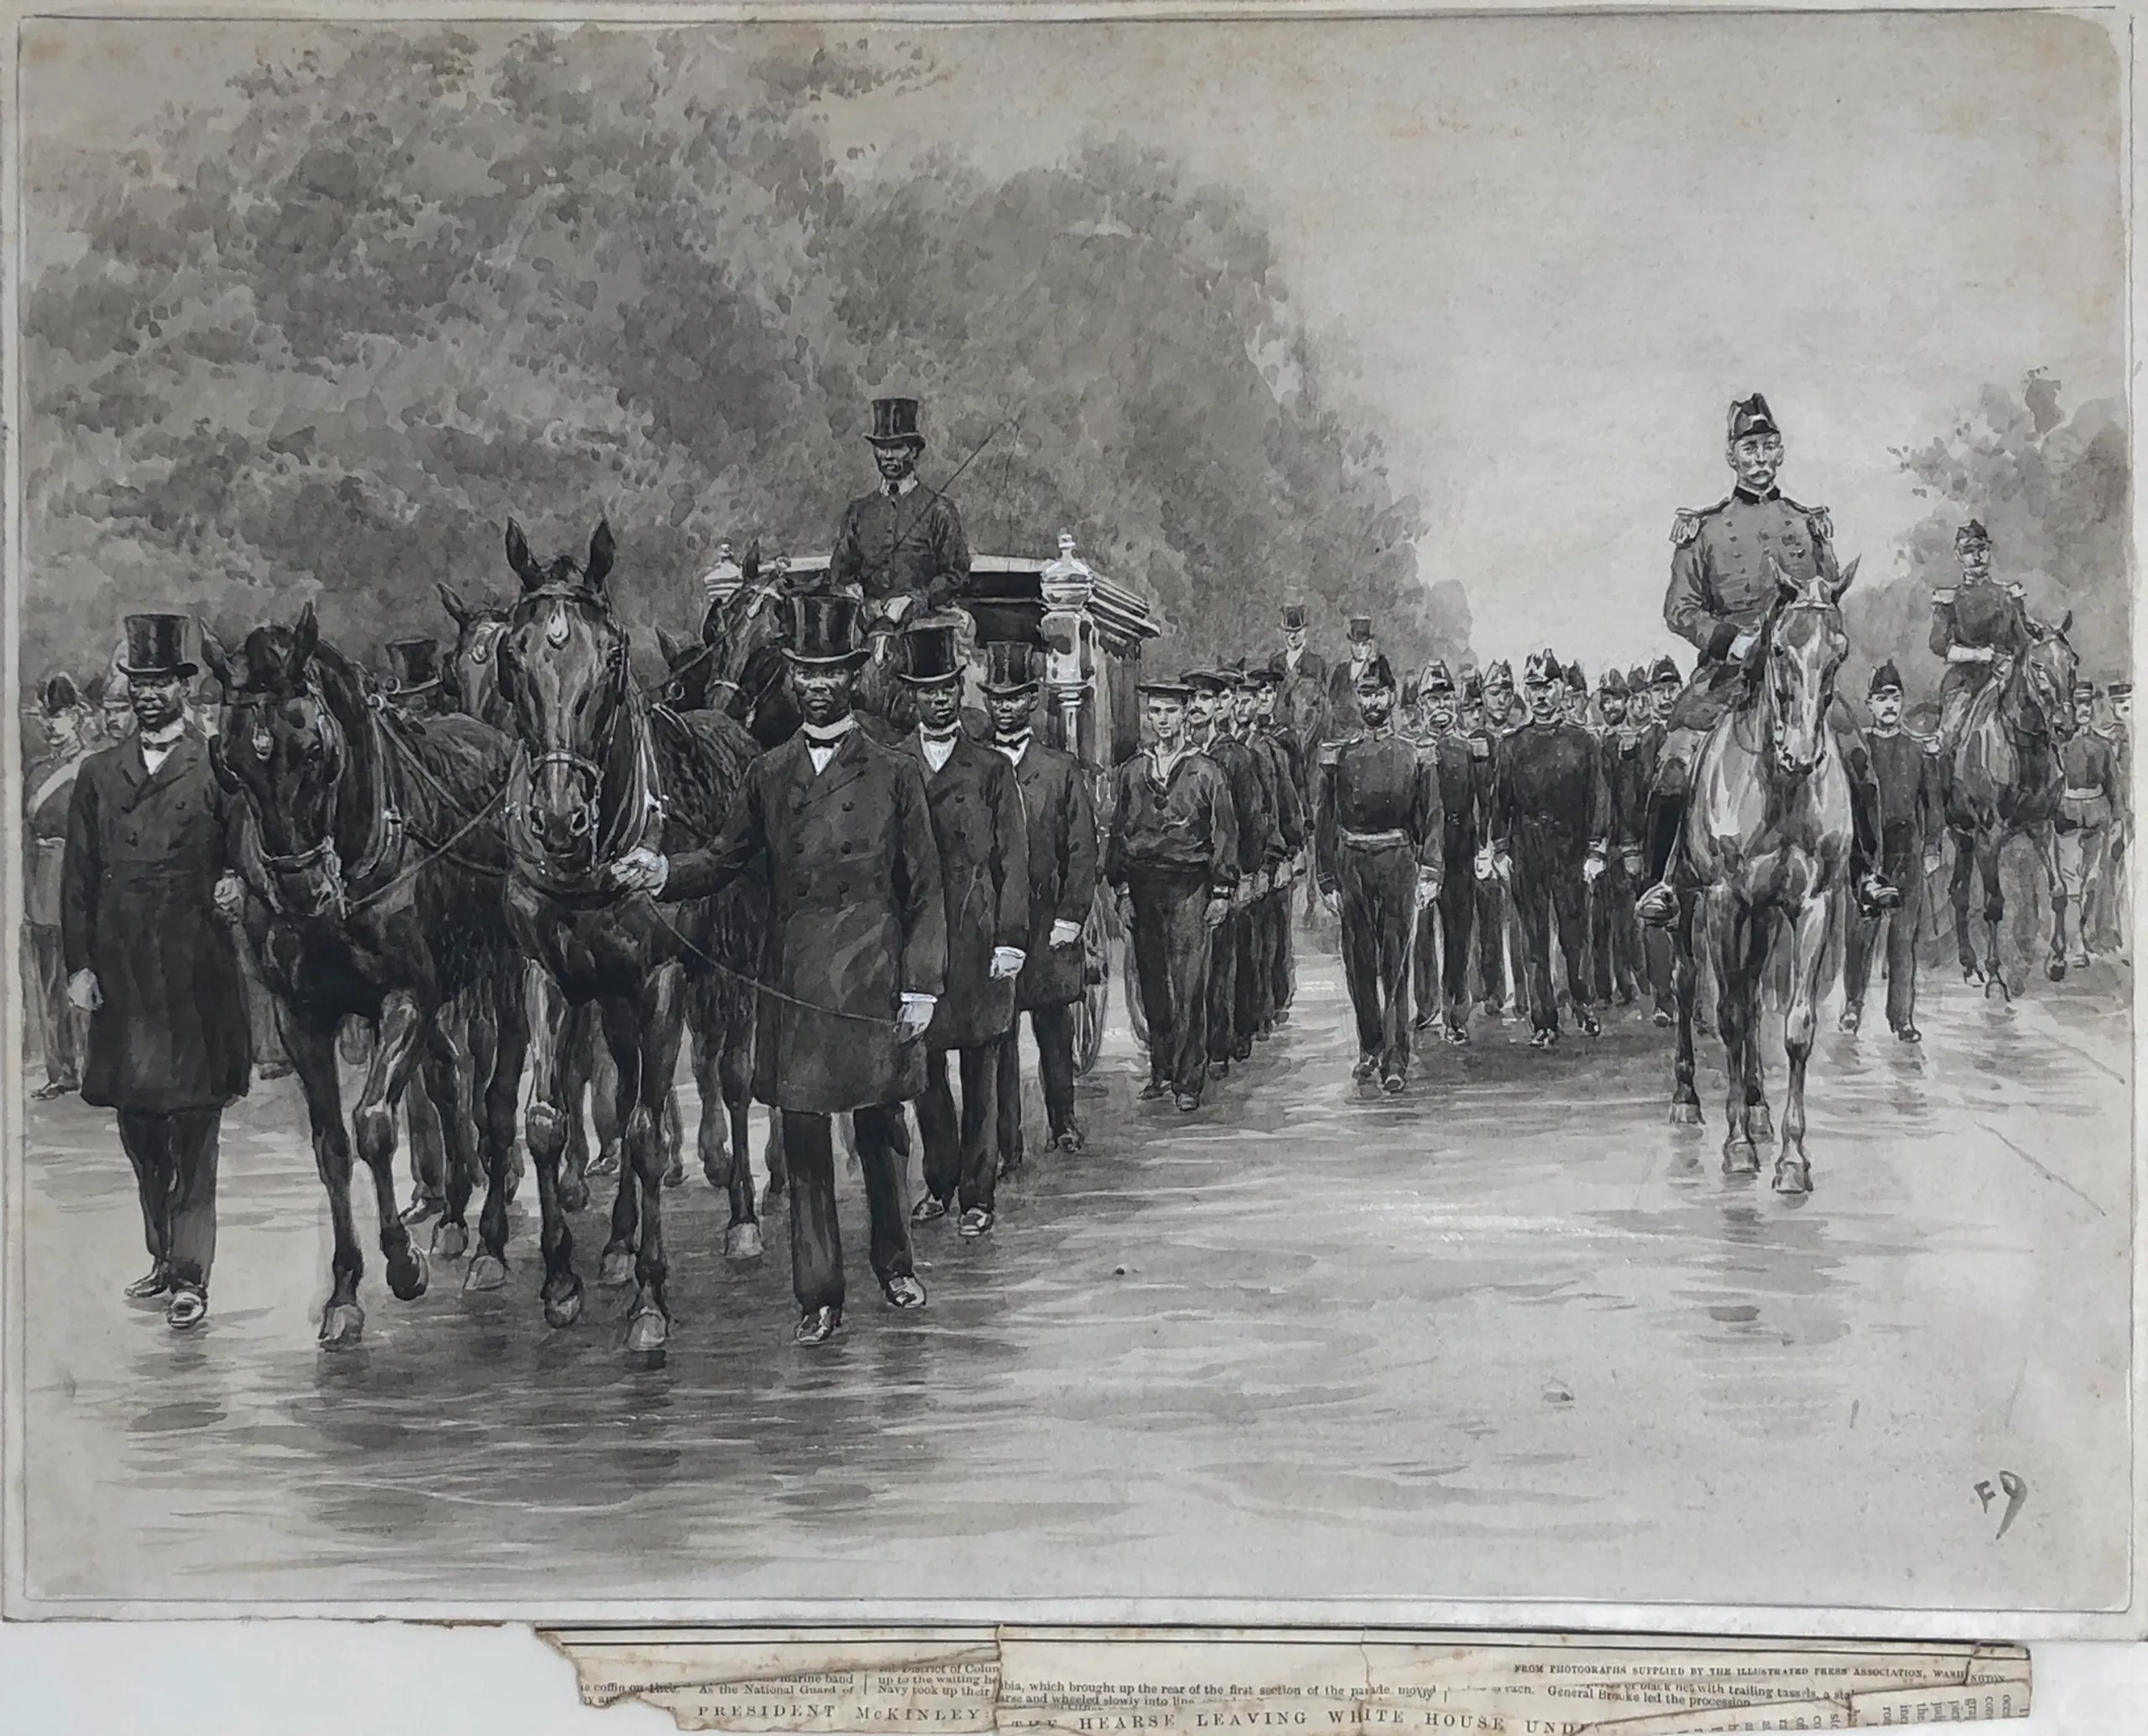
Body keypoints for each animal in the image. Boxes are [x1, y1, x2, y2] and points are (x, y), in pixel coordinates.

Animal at [201, 601, 528, 1349]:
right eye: (232, 764)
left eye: (315, 751)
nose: (300, 893)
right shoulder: (300, 1015)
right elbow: (331, 1144)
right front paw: (345, 1288)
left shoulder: (406, 996)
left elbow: (375, 1121)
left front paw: (400, 1264)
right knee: (448, 1077)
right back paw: (455, 1212)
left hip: (502, 968)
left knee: (497, 1087)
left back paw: (491, 1239)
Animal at [498, 518, 769, 1358]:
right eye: (512, 653)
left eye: (611, 654)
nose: (558, 816)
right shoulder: (549, 975)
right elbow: (550, 1119)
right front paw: (561, 1281)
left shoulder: (661, 979)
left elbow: (648, 1131)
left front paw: (652, 1297)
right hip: (611, 996)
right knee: (621, 1084)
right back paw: (615, 1242)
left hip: (734, 968)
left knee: (734, 1075)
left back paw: (744, 1218)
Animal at [1666, 554, 1855, 1194]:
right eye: (1777, 647)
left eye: (1839, 651)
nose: (1802, 754)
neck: (1779, 785)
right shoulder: (1724, 901)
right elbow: (1726, 1014)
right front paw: (1737, 1148)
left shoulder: (1812, 905)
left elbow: (1795, 1025)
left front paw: (1793, 1159)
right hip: (1691, 907)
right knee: (1687, 984)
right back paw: (1687, 1097)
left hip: (1767, 917)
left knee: (1750, 995)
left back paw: (1757, 1106)